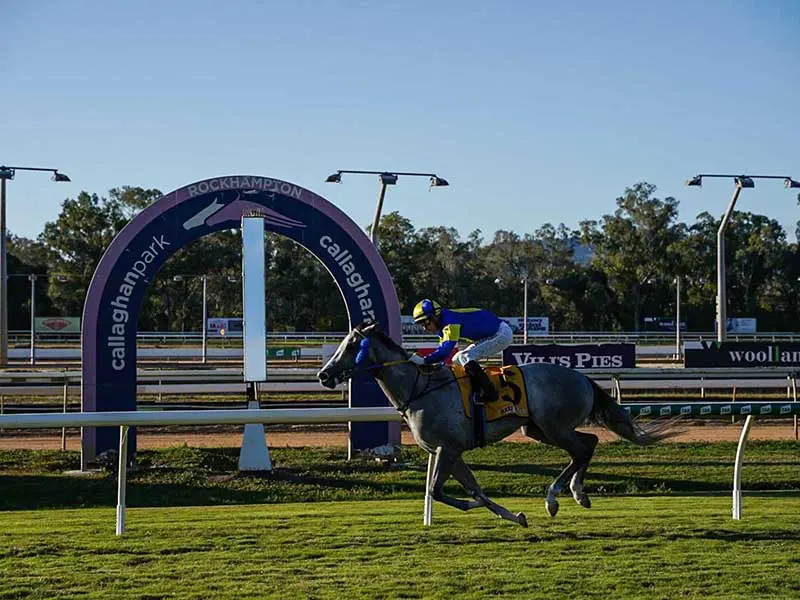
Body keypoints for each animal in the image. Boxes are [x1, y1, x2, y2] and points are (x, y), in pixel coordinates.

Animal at [316, 324, 680, 524]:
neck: (421, 389)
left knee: (581, 449)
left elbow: (439, 491)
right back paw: (578, 493)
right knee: (588, 443)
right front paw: (514, 516)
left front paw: (477, 505)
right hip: (538, 428)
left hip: (554, 426)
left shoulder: (448, 449)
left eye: (351, 345)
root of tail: (581, 377)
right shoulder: (450, 452)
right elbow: (472, 489)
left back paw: (556, 497)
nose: (323, 375)